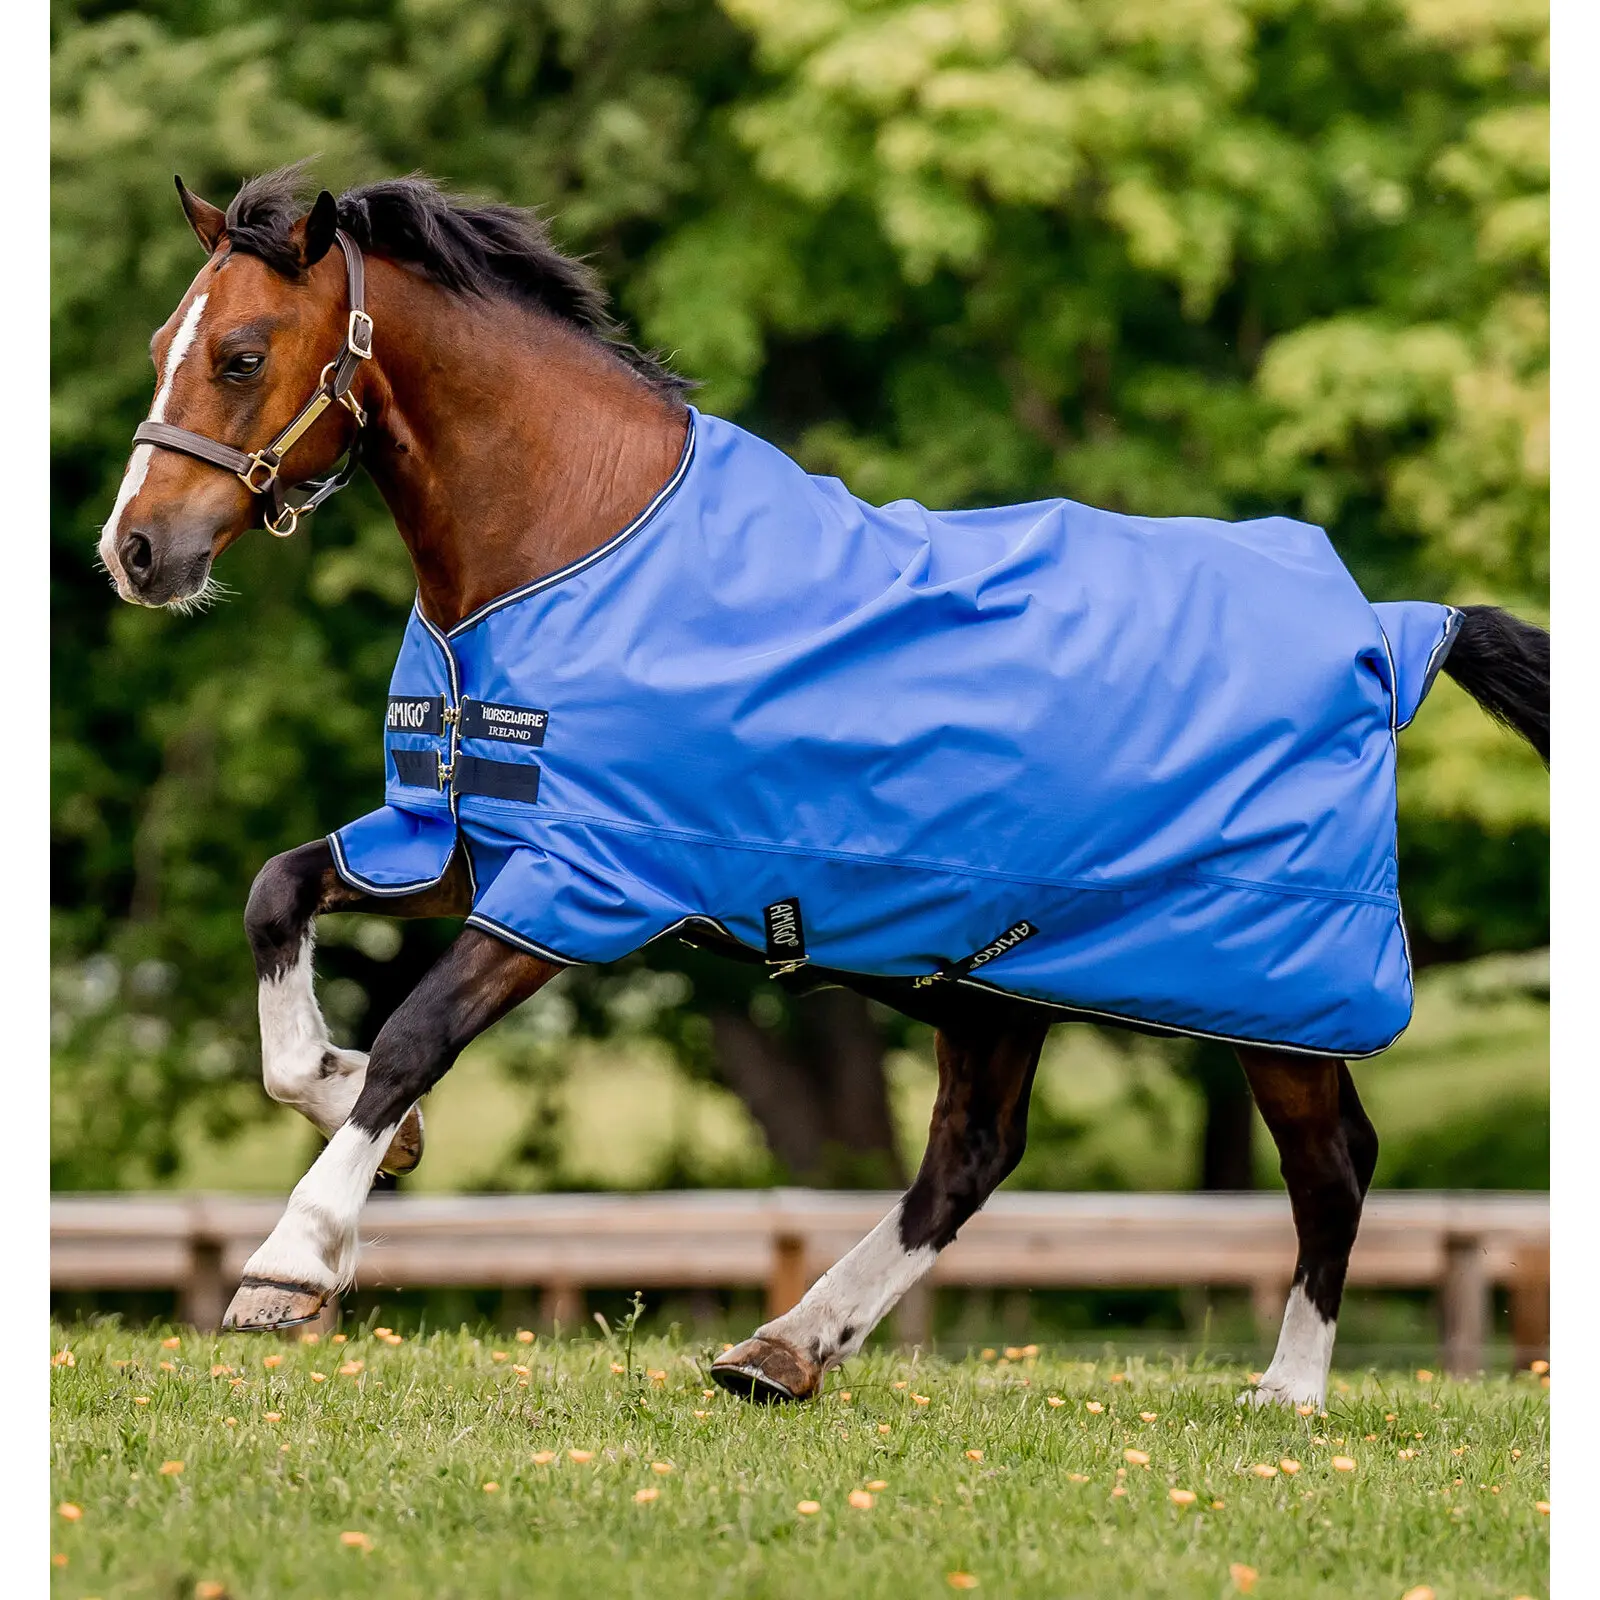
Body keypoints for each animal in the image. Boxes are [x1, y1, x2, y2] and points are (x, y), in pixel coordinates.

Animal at [98, 169, 1549, 1409]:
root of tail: (1383, 626)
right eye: (164, 337)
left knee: (1333, 1162)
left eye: (240, 355)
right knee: (969, 1157)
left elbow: (417, 1035)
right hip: (996, 980)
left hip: (1274, 994)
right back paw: (784, 1348)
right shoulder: (458, 836)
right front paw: (358, 1111)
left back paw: (1286, 1392)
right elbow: (277, 898)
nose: (137, 551)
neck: (573, 536)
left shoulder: (584, 886)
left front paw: (293, 1261)